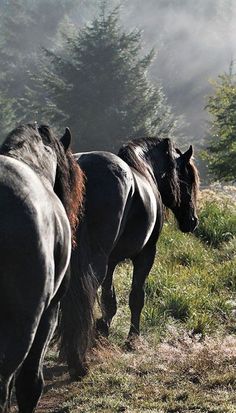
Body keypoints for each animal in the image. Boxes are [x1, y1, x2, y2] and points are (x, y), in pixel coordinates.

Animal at [58, 136, 198, 380]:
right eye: (187, 178)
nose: (193, 221)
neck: (145, 171)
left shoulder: (112, 261)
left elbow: (109, 300)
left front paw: (102, 330)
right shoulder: (145, 255)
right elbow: (136, 297)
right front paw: (132, 339)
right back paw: (77, 361)